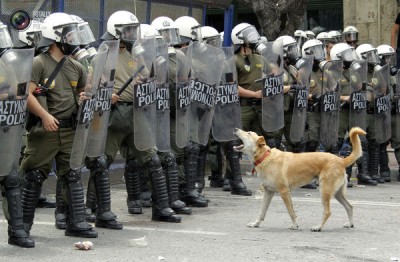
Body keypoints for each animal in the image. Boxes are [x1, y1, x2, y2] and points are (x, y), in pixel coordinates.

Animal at [233, 127, 368, 231]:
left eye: (249, 133)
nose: (235, 129)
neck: (265, 157)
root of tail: (341, 160)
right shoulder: (268, 192)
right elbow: (262, 211)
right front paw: (256, 223)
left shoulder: (284, 192)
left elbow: (291, 212)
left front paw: (294, 225)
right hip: (337, 193)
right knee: (349, 206)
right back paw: (350, 224)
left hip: (325, 191)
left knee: (328, 211)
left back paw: (318, 227)